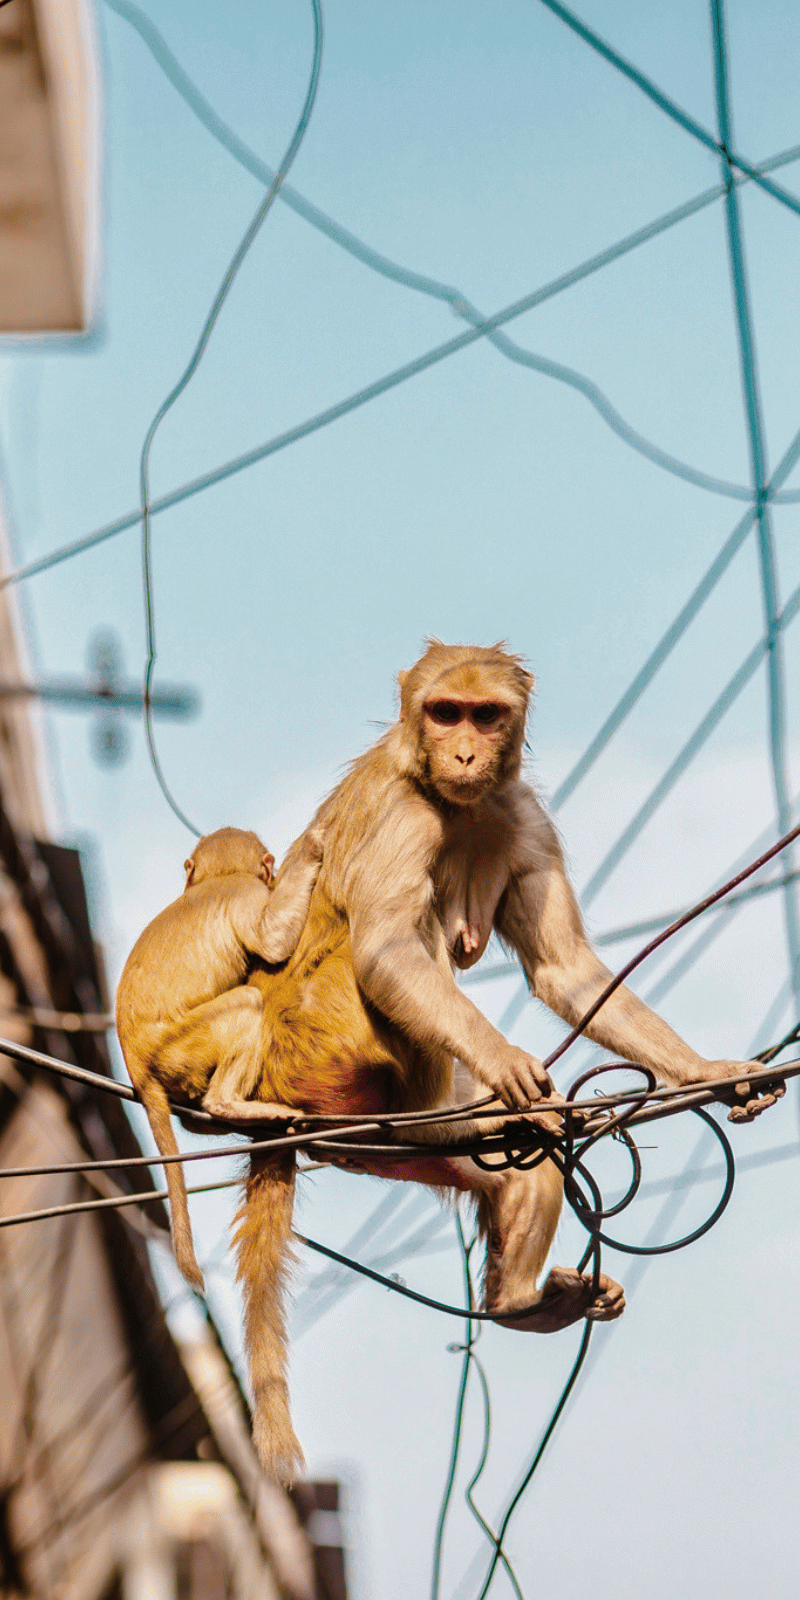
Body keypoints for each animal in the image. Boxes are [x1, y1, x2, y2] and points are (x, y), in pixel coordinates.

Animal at [116, 824, 323, 1293]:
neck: (219, 878)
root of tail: (135, 1058)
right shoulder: (248, 893)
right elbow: (272, 941)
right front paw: (308, 853)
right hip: (184, 1044)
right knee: (247, 1002)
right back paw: (227, 1104)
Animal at [230, 642, 783, 1482]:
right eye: (444, 712)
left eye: (485, 716)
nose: (464, 752)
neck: (452, 799)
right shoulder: (409, 814)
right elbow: (386, 950)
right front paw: (505, 1058)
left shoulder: (523, 814)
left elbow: (566, 971)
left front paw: (706, 1073)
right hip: (333, 1052)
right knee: (405, 942)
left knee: (524, 1162)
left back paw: (518, 1301)